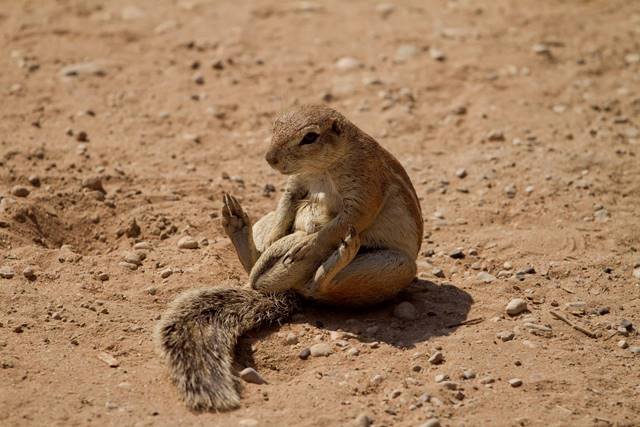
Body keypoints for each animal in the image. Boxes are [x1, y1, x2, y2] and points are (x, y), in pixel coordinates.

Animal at [155, 103, 422, 412]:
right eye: (274, 125)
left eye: (310, 137)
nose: (269, 159)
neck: (321, 169)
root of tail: (287, 292)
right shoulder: (296, 185)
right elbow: (287, 205)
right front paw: (276, 238)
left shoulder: (364, 188)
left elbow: (341, 224)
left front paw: (307, 246)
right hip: (265, 222)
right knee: (257, 265)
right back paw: (238, 224)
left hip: (397, 267)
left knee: (321, 288)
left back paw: (340, 254)